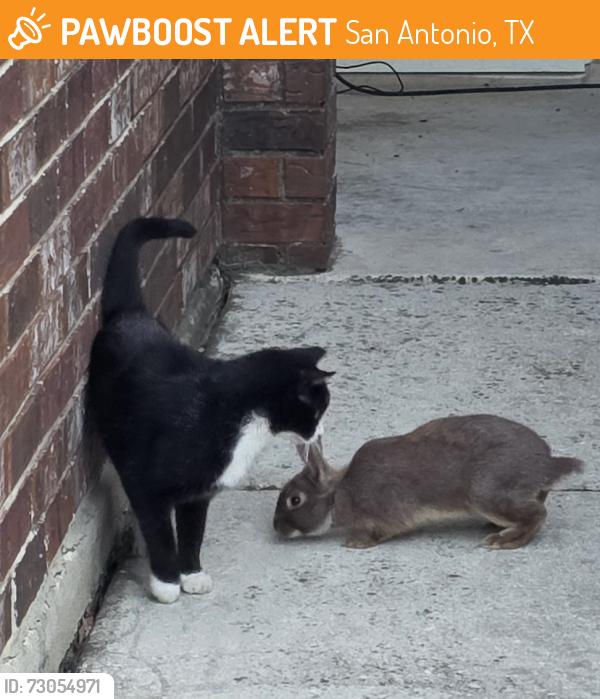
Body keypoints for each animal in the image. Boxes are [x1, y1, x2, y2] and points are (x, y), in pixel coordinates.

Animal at [273, 414, 583, 550]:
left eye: (295, 500)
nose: (277, 529)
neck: (340, 493)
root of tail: (546, 464)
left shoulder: (388, 513)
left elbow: (382, 532)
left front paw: (356, 542)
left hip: (486, 493)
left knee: (538, 514)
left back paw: (503, 541)